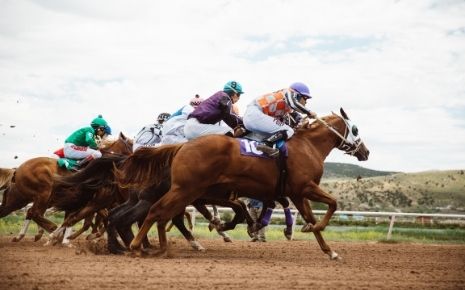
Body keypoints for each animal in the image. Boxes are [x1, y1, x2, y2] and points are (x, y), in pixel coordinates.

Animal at [0, 133, 134, 241]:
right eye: (131, 144)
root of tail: (16, 170)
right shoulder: (93, 201)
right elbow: (87, 220)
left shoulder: (85, 203)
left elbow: (79, 220)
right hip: (41, 194)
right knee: (34, 213)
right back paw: (51, 230)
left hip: (26, 200)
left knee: (29, 212)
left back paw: (25, 235)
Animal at [117, 108, 370, 258]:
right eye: (355, 128)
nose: (365, 151)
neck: (307, 146)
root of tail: (182, 145)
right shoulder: (305, 187)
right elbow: (333, 204)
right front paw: (313, 229)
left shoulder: (295, 193)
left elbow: (308, 216)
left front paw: (328, 250)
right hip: (185, 189)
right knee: (156, 211)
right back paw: (137, 246)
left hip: (189, 192)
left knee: (165, 215)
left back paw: (164, 247)